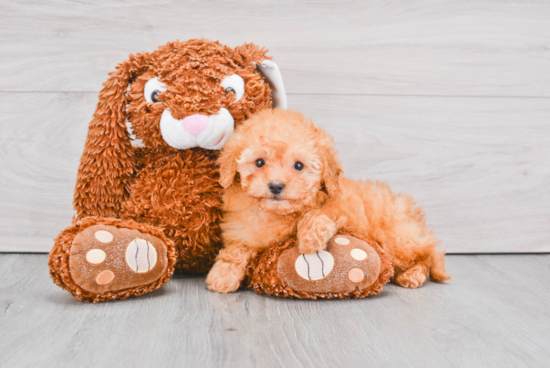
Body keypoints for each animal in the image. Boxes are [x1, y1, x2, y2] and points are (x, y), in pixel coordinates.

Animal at [206, 108, 448, 294]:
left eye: (298, 165)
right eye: (259, 162)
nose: (275, 186)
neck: (275, 213)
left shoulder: (341, 214)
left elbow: (315, 215)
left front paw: (309, 239)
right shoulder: (244, 232)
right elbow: (236, 250)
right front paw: (222, 276)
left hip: (397, 239)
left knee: (429, 255)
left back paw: (413, 275)